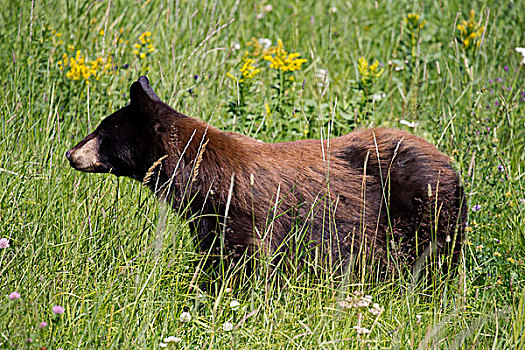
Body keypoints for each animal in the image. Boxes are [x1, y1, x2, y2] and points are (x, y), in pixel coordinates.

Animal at [66, 76, 466, 272]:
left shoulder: (245, 217)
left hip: (426, 214)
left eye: (102, 132)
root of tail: (451, 165)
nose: (71, 153)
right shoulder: (209, 219)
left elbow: (244, 265)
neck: (204, 178)